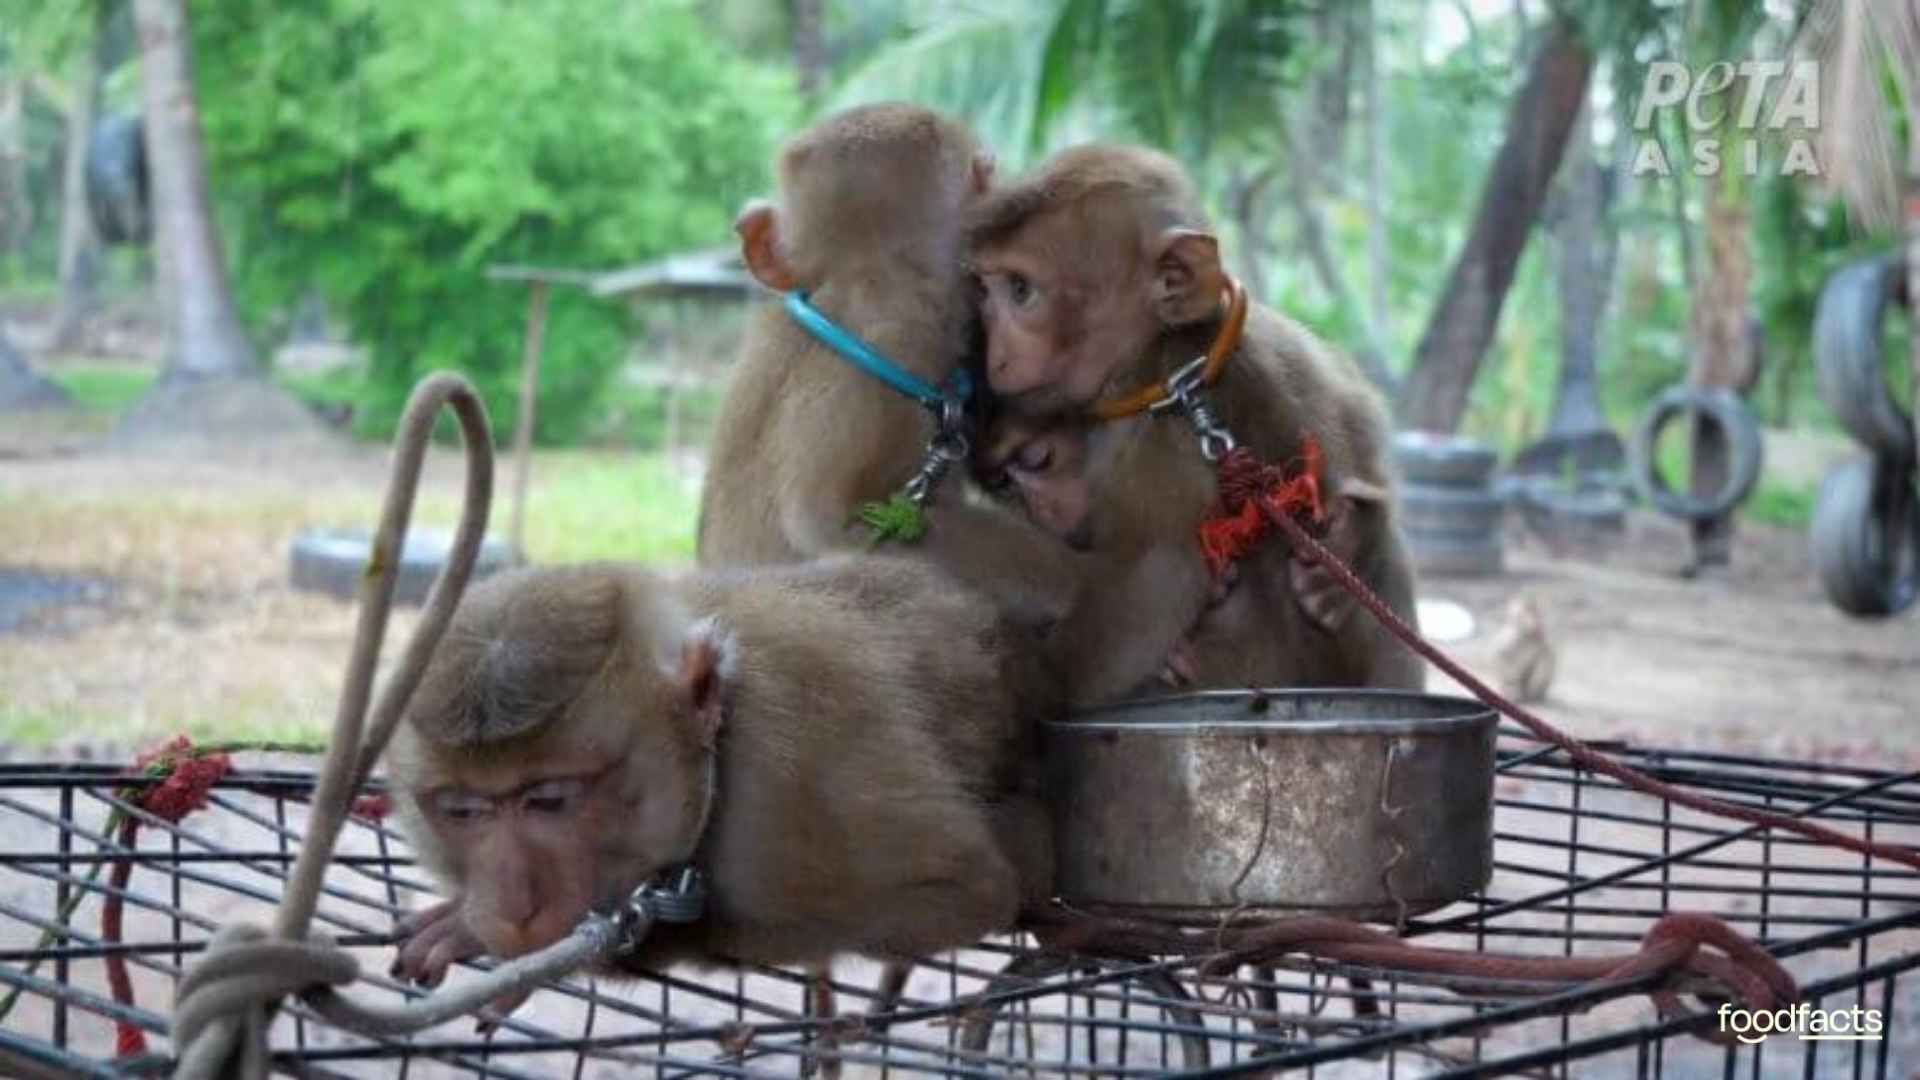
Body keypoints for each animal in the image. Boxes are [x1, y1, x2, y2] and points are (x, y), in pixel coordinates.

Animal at [966, 143, 1423, 691]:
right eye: (983, 292)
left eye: (1020, 289)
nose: (995, 354)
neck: (1174, 373)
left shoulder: (1163, 443)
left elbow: (1150, 589)